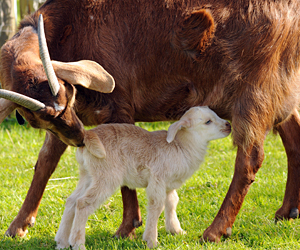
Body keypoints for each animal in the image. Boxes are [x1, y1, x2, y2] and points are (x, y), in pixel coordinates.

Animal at [55, 106, 231, 249]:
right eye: (208, 121)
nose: (228, 125)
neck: (182, 146)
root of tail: (88, 136)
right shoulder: (157, 178)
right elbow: (156, 205)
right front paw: (151, 241)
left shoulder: (168, 184)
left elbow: (172, 202)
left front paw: (176, 230)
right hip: (107, 175)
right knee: (83, 203)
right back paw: (77, 243)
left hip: (89, 174)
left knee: (72, 201)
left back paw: (62, 242)